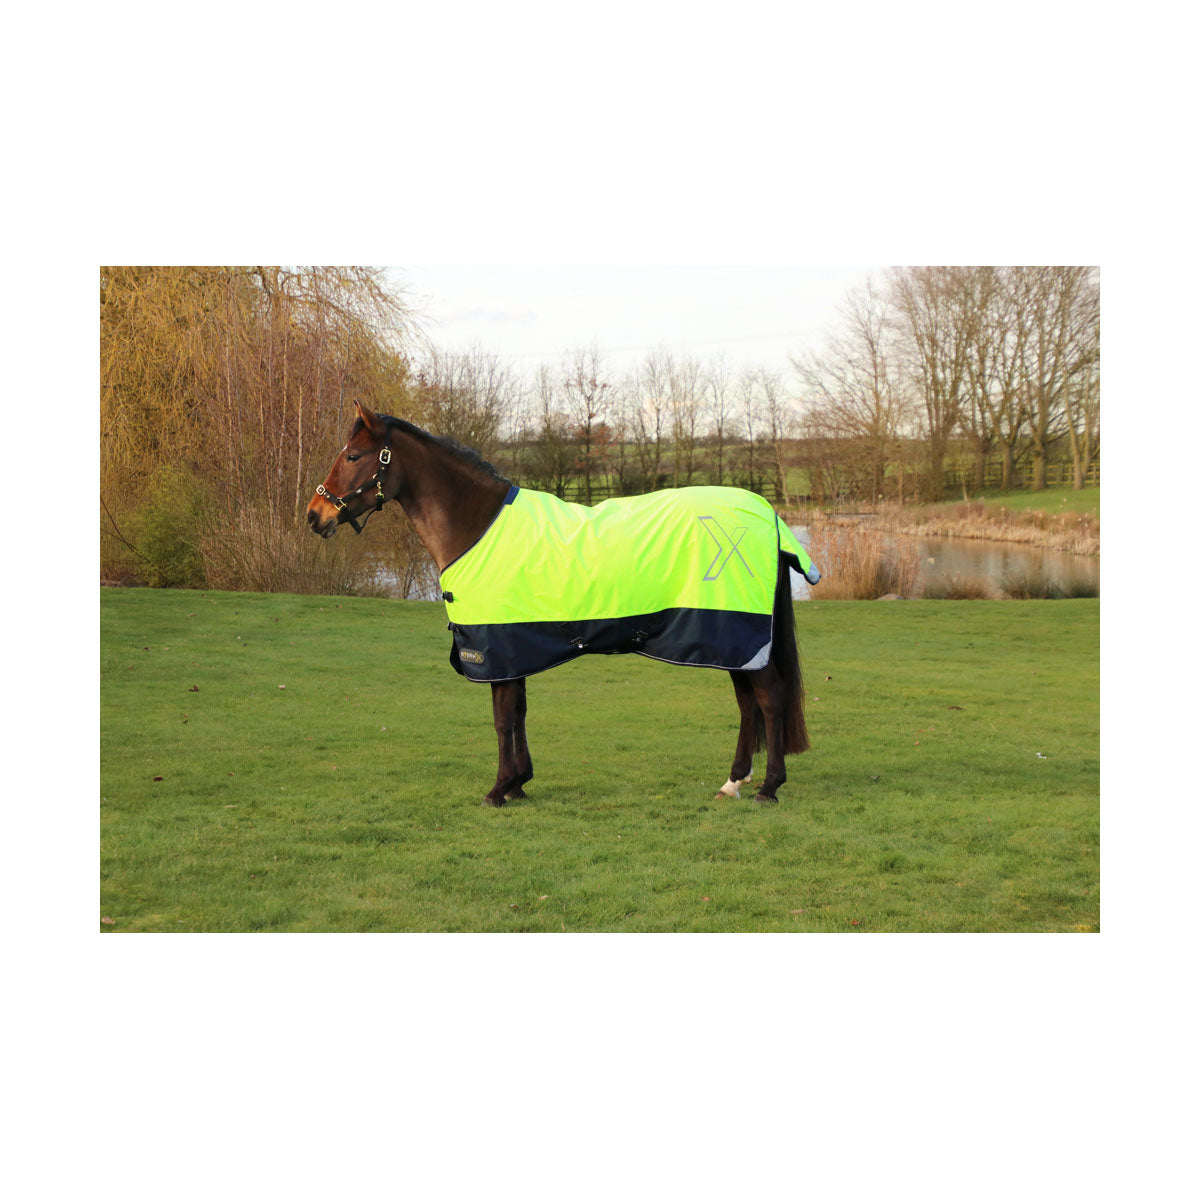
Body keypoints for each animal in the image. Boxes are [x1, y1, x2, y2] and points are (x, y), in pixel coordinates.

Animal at [306, 400, 819, 807]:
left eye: (352, 456)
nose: (315, 515)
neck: (478, 526)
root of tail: (767, 514)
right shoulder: (514, 645)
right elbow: (518, 713)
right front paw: (519, 783)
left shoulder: (496, 648)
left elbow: (501, 718)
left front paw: (498, 789)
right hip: (731, 642)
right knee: (748, 705)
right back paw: (733, 782)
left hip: (739, 634)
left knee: (769, 699)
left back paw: (769, 787)